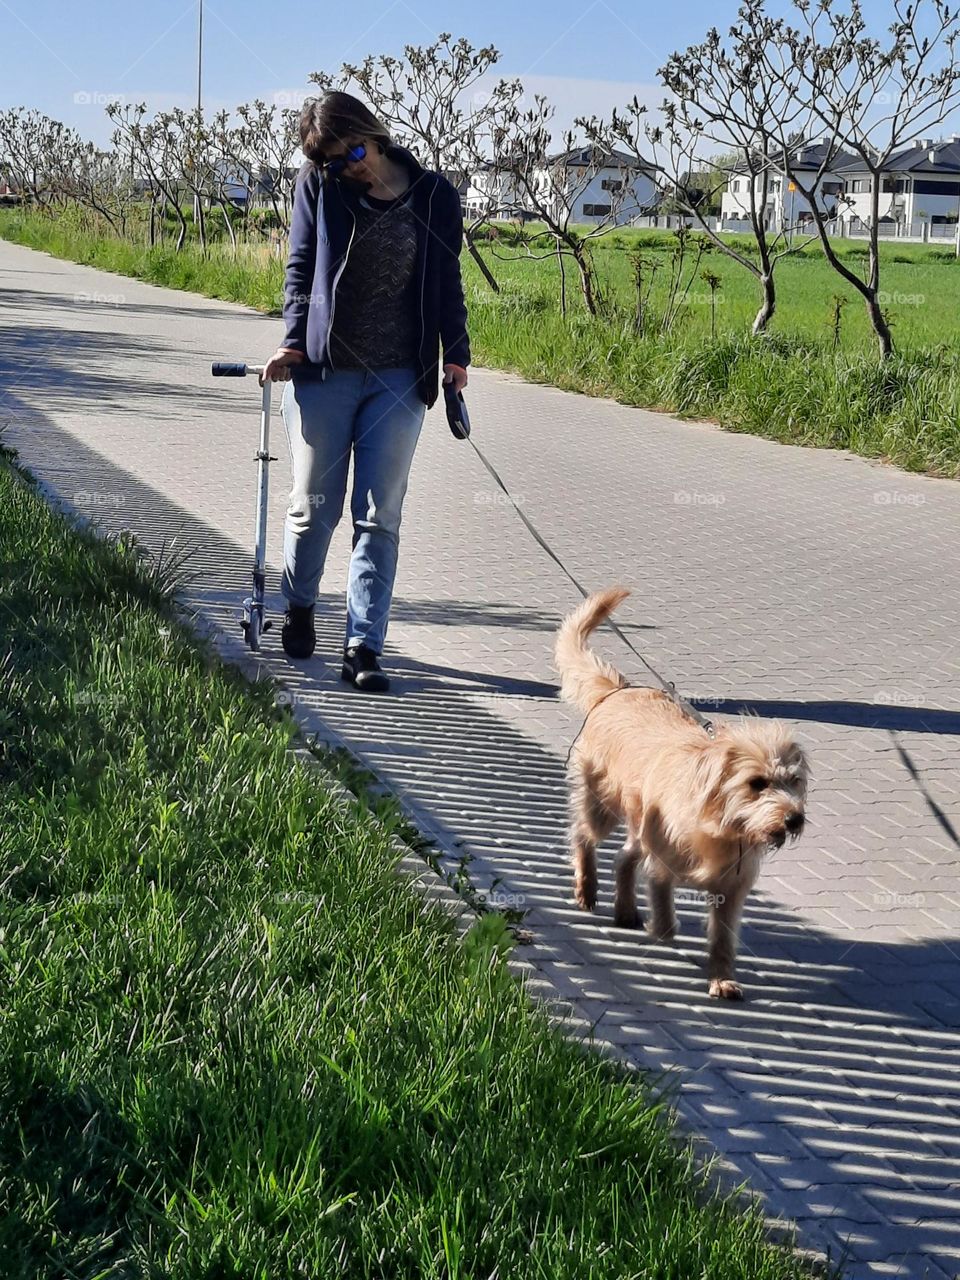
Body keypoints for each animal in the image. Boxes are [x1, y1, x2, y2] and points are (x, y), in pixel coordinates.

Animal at [555, 586, 814, 998]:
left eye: (794, 782)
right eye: (757, 783)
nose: (794, 819)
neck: (723, 825)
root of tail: (618, 691)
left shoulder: (731, 888)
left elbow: (723, 938)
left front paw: (722, 977)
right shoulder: (663, 858)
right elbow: (662, 901)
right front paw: (662, 929)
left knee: (624, 858)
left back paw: (625, 908)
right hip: (603, 806)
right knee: (583, 836)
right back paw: (587, 887)